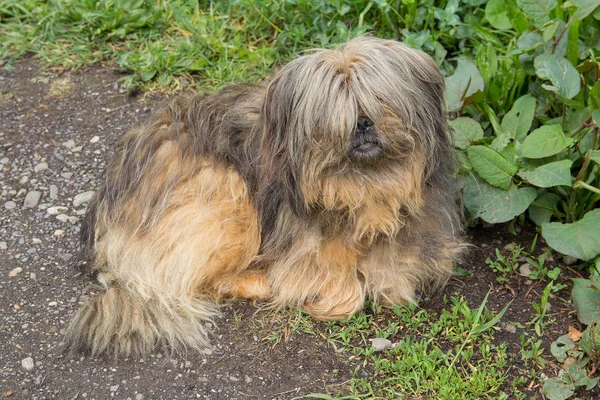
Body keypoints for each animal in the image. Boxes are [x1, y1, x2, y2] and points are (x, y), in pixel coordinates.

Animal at [63, 36, 464, 356]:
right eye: (332, 112)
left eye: (380, 99)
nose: (362, 123)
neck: (362, 188)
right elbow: (334, 281)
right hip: (225, 198)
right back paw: (256, 281)